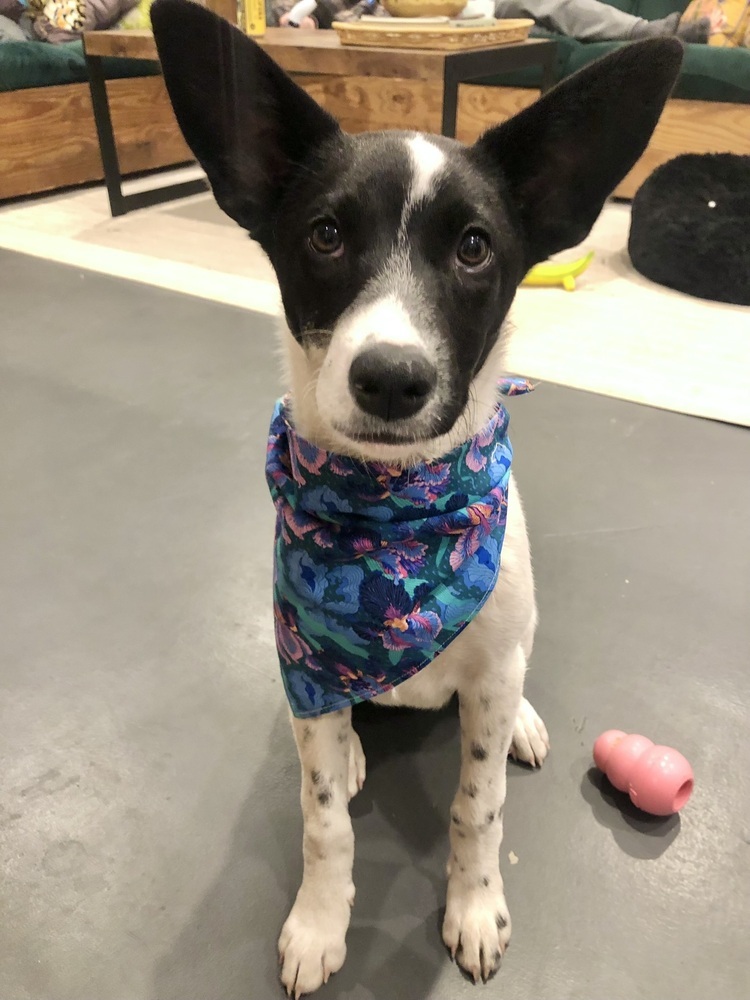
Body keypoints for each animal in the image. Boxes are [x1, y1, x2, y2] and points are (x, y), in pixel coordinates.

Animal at [150, 3, 684, 992]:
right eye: (325, 234)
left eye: (474, 248)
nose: (392, 378)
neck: (395, 522)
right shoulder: (307, 669)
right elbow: (321, 819)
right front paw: (320, 922)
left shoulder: (491, 670)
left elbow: (478, 806)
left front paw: (474, 908)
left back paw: (524, 723)